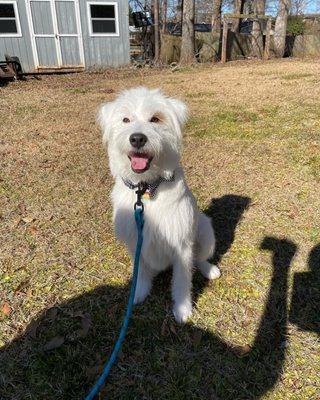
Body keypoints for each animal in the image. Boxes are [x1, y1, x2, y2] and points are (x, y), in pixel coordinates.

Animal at [99, 86, 221, 322]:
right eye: (126, 119)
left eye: (155, 118)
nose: (137, 138)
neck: (145, 190)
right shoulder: (135, 241)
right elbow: (140, 271)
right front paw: (139, 292)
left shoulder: (181, 244)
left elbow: (182, 280)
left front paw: (182, 310)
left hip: (205, 229)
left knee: (199, 259)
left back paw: (210, 269)